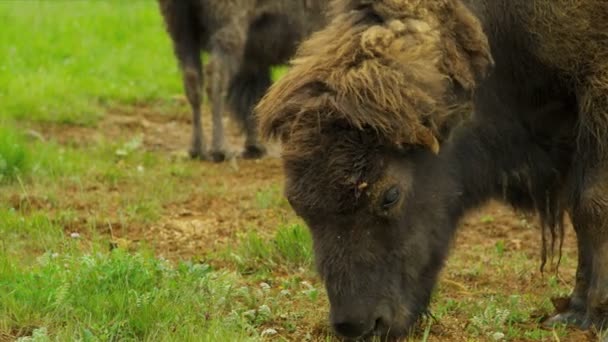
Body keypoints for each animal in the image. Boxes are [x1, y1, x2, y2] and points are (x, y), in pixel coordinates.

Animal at [157, 0, 328, 162]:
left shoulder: (252, 60)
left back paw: (197, 150)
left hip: (181, 32)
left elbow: (253, 99)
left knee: (192, 79)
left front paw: (255, 147)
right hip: (227, 30)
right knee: (215, 78)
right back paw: (221, 150)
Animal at [253, 0, 608, 338]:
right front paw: (573, 309)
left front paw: (593, 314)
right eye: (297, 204)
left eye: (390, 195)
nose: (357, 325)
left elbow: (591, 206)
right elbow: (579, 213)